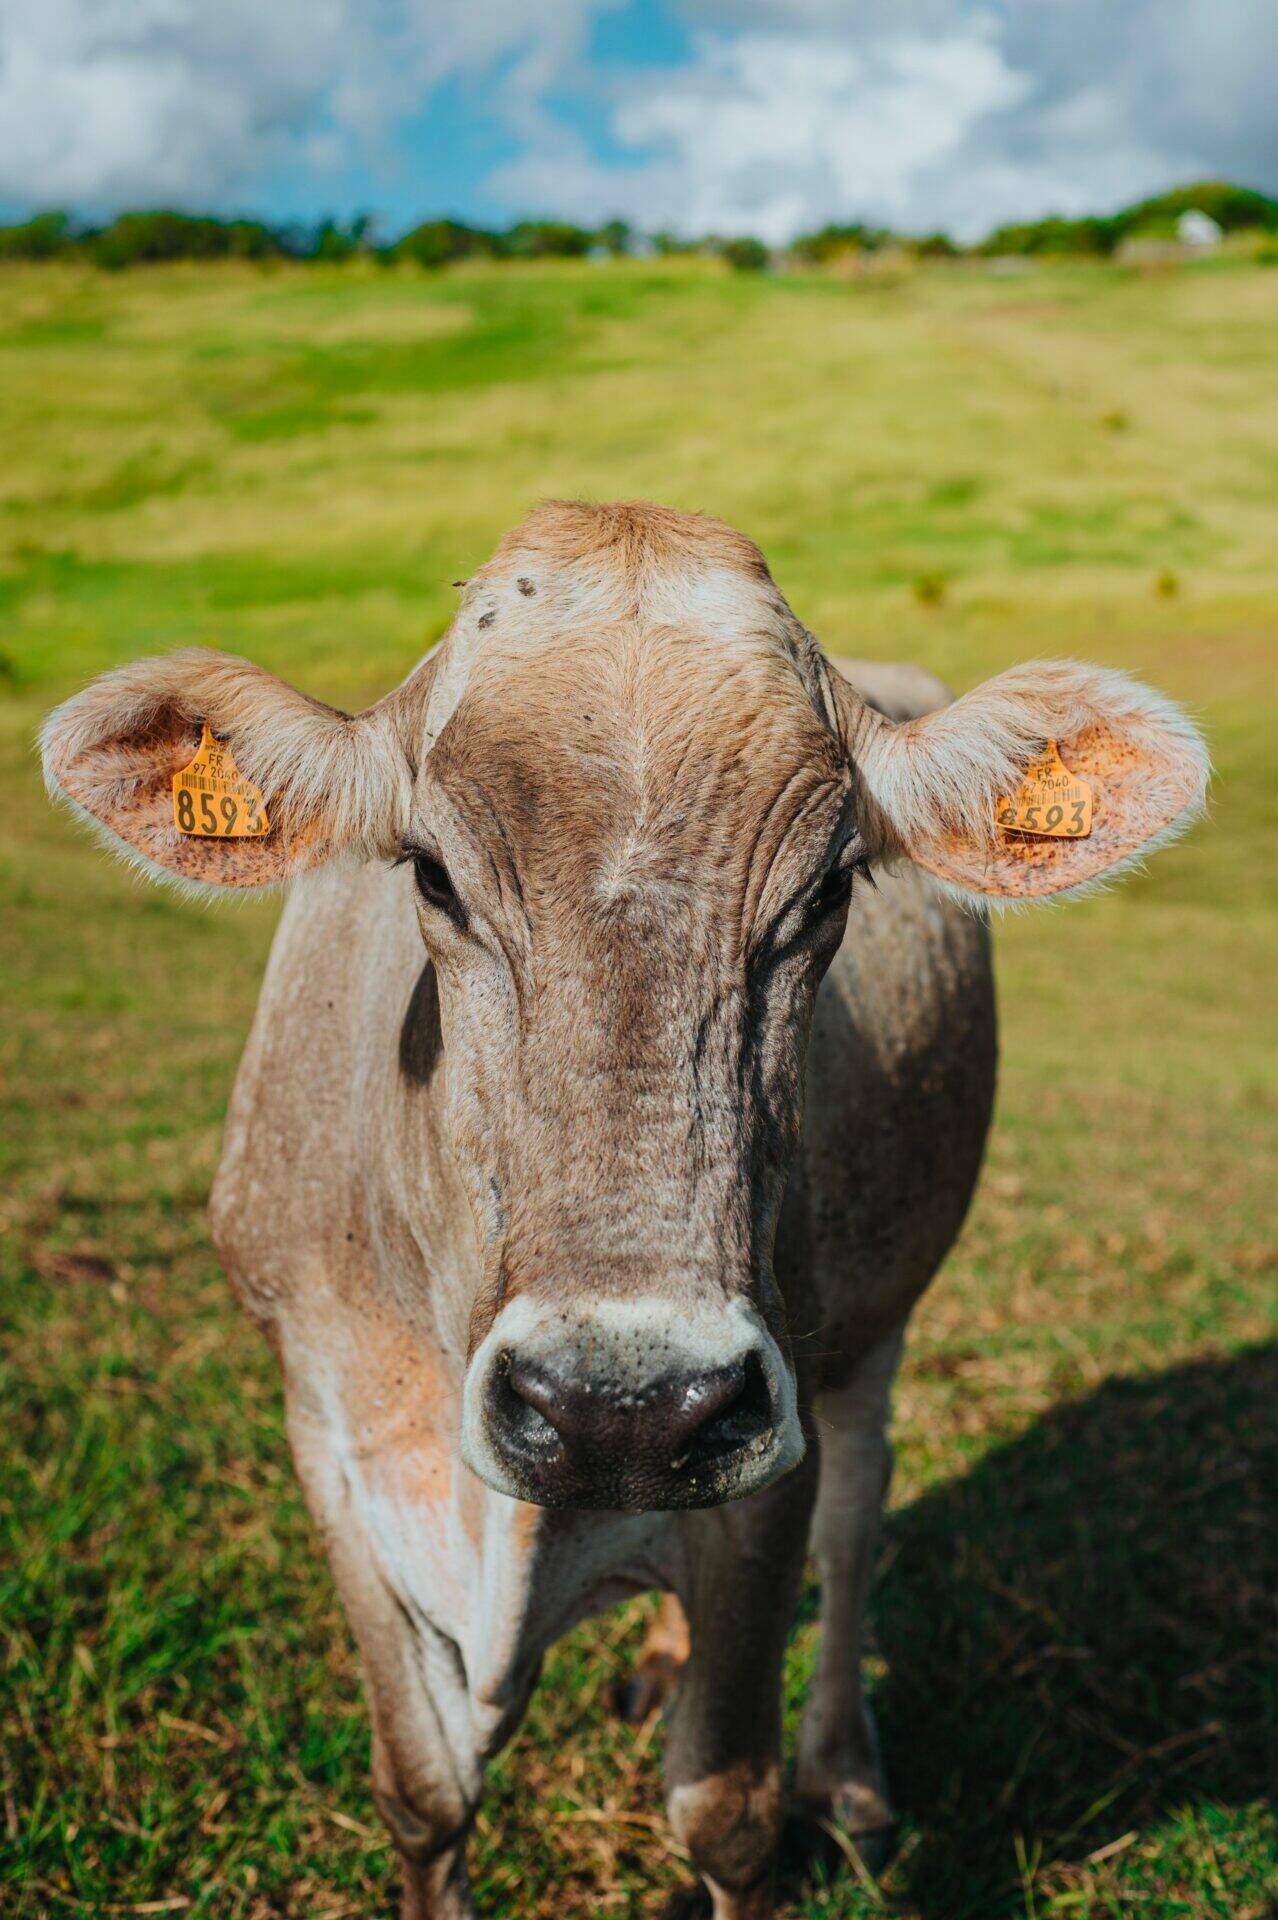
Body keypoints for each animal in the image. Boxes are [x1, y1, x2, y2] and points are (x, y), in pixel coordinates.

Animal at [42, 501, 1207, 1919]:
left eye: (830, 890)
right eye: (431, 874)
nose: (626, 1406)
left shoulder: (773, 1442)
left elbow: (729, 1808)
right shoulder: (328, 1436)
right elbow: (423, 1789)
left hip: (872, 1331)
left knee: (860, 1518)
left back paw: (850, 1779)